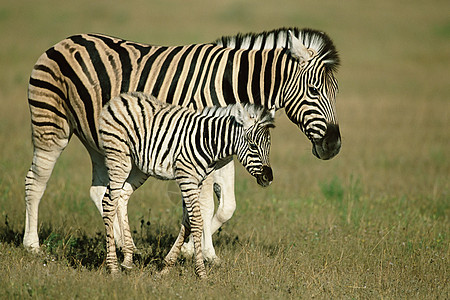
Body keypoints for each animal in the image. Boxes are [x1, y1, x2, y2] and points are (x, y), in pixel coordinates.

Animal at [98, 92, 274, 278]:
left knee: (122, 197)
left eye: (269, 146)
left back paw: (127, 260)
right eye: (253, 146)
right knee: (108, 202)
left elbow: (188, 221)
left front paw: (167, 266)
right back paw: (113, 267)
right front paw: (201, 271)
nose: (268, 177)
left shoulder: (198, 181)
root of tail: (120, 98)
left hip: (137, 167)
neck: (208, 141)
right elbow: (196, 220)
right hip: (119, 158)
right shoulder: (187, 178)